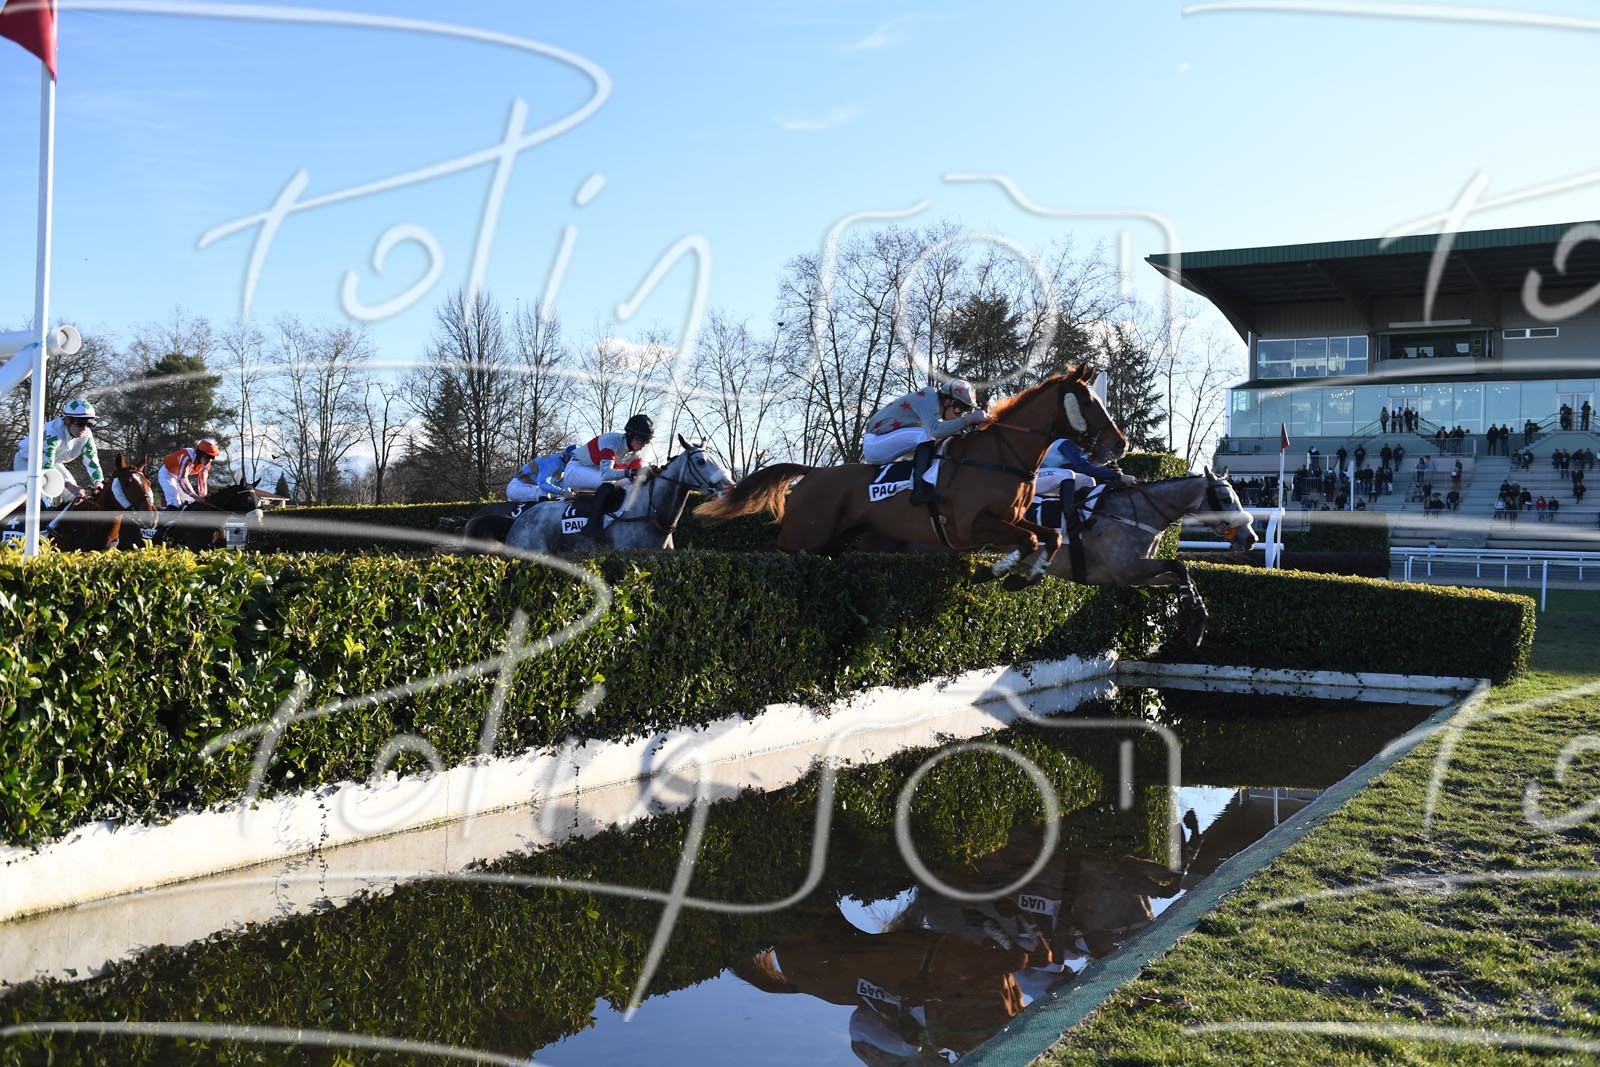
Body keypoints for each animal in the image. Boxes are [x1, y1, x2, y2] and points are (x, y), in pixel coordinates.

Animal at [693, 368, 1125, 583]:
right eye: (1089, 401)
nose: (1119, 444)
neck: (1001, 456)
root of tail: (813, 473)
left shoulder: (1012, 518)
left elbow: (1049, 536)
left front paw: (1027, 574)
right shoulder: (970, 525)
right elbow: (1031, 538)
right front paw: (1000, 569)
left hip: (835, 541)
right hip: (804, 535)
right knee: (766, 552)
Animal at [1024, 467, 1257, 646]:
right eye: (1226, 499)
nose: (1251, 537)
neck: (1131, 514)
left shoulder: (1137, 576)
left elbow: (1181, 576)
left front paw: (1192, 615)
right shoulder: (1127, 570)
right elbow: (1178, 564)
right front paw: (1197, 619)